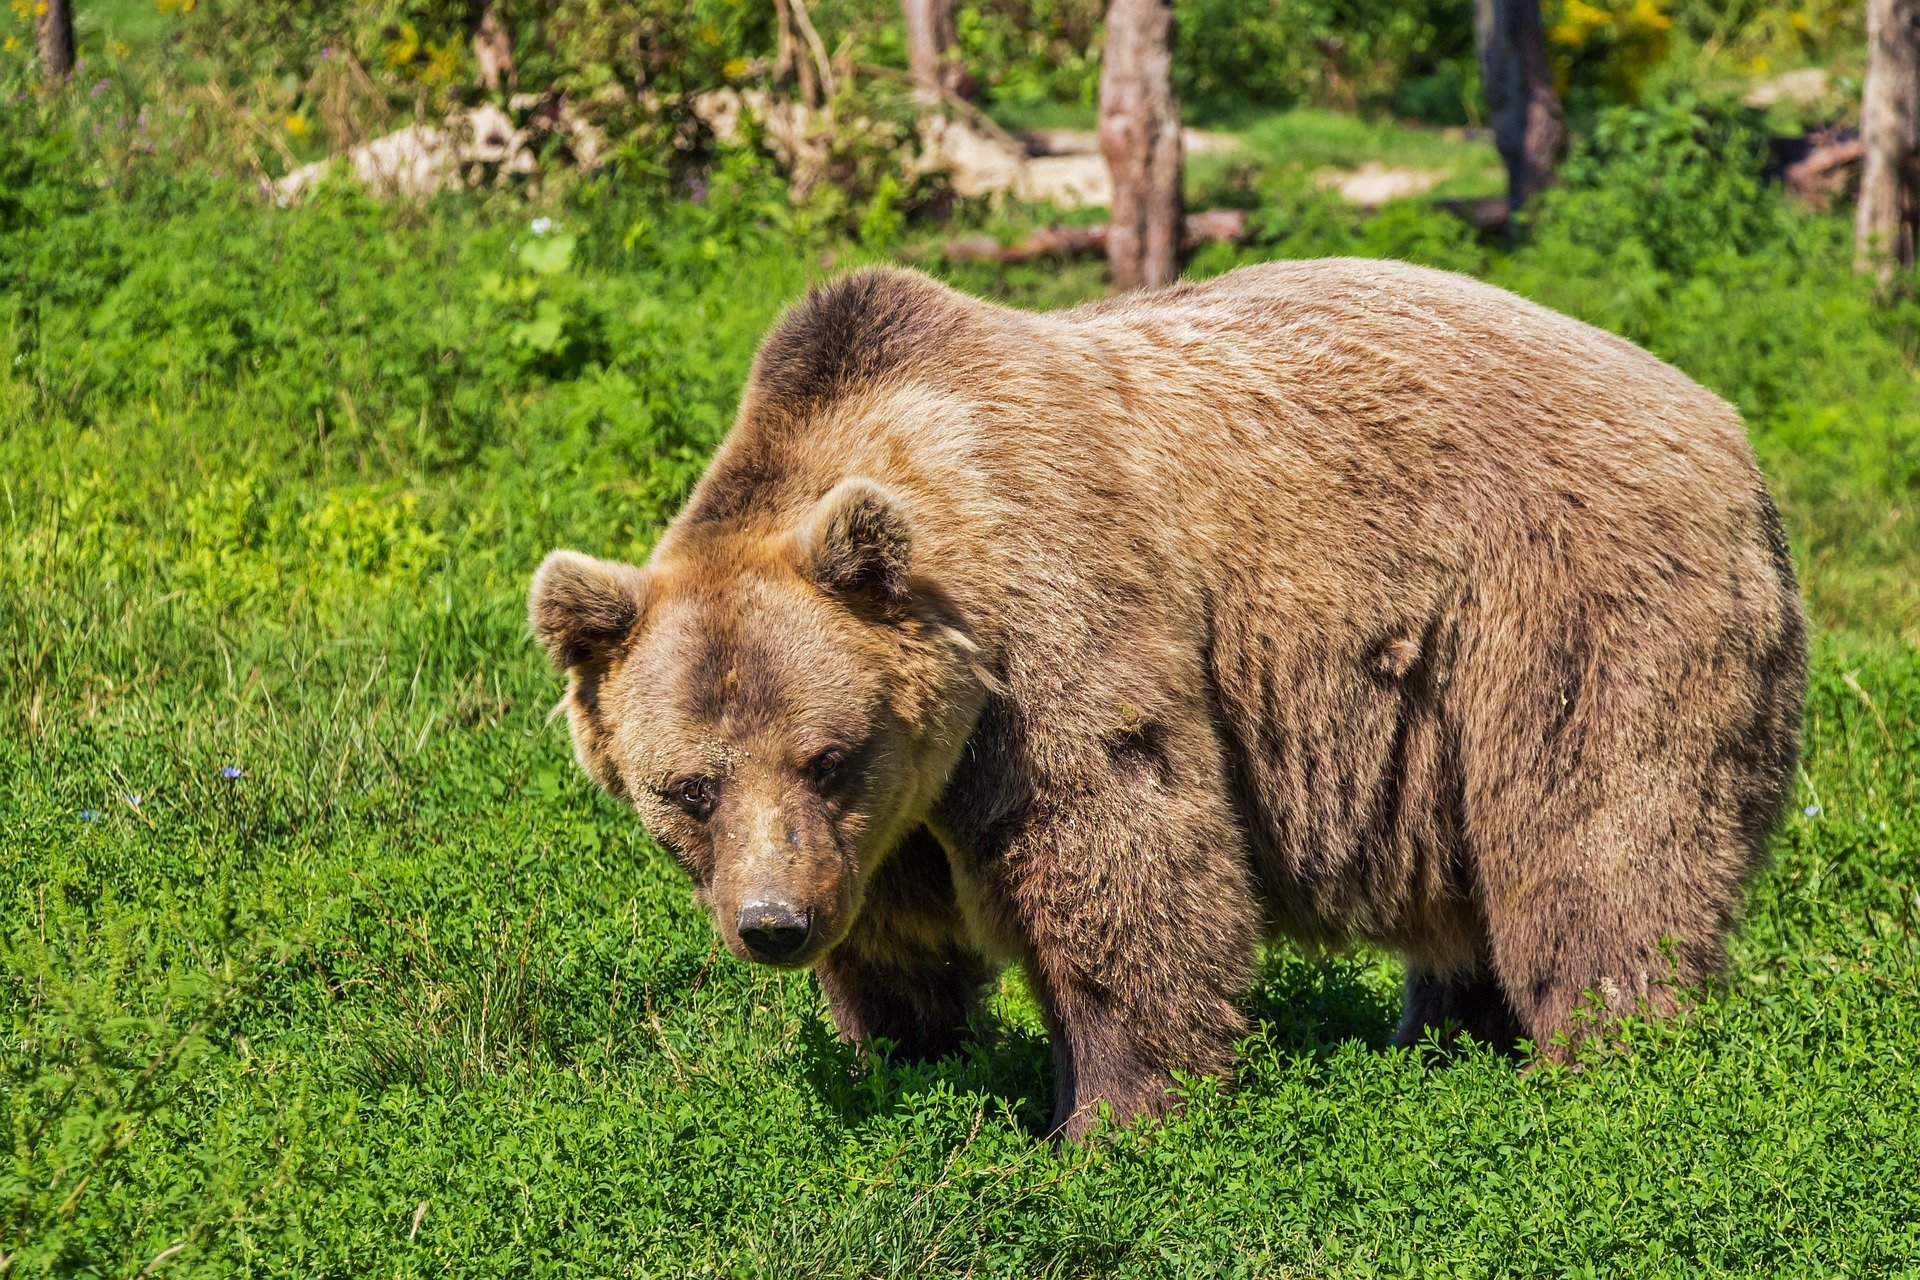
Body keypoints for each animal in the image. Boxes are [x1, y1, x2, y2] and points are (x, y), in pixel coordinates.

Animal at [526, 260, 1797, 1143]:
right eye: (688, 787)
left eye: (826, 754)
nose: (774, 923)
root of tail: (1728, 426)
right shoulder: (888, 817)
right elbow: (897, 938)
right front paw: (909, 1059)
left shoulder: (1053, 624)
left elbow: (1117, 848)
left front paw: (1110, 1117)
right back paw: (1443, 1036)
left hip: (1565, 603)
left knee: (1596, 836)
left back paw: (1605, 1055)